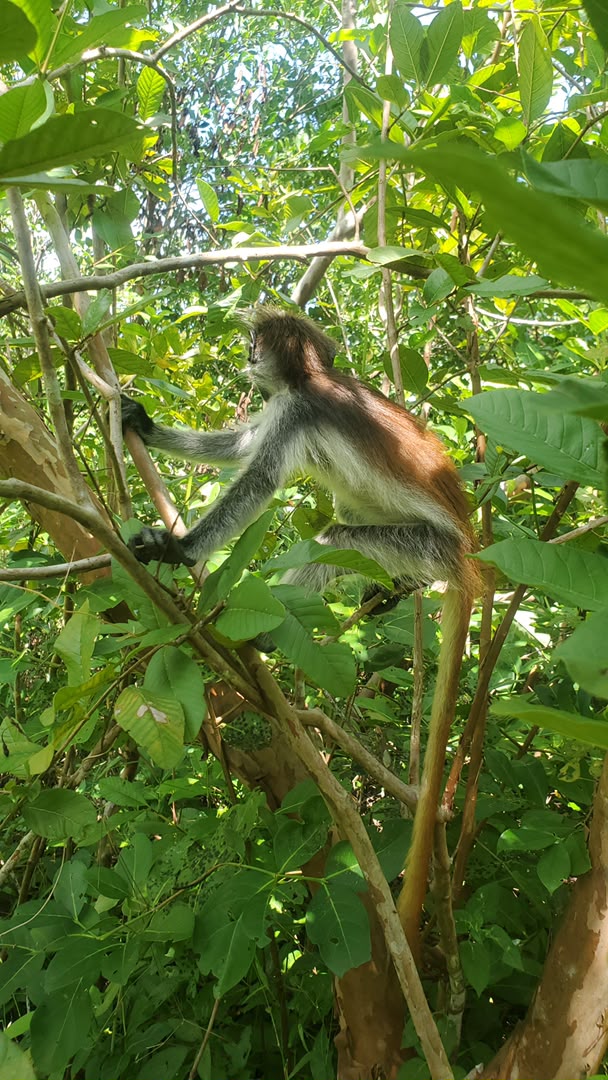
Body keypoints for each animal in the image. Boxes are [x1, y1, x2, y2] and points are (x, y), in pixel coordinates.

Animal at [121, 306, 480, 954]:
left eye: (254, 342)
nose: (245, 354)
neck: (312, 381)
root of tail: (463, 547)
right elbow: (239, 445)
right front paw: (144, 423)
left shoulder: (297, 412)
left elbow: (257, 478)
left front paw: (180, 549)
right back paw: (390, 594)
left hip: (423, 543)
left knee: (336, 536)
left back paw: (262, 638)